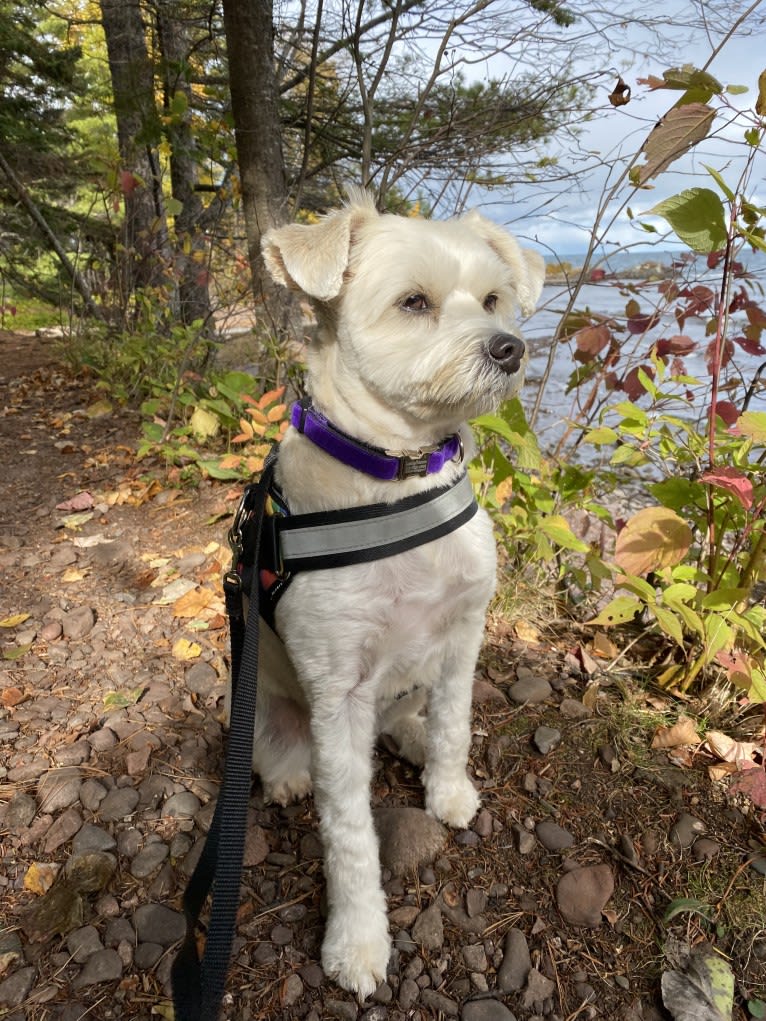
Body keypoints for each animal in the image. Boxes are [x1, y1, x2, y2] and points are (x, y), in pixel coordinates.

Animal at [243, 191, 543, 996]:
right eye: (414, 302)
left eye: (494, 299)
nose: (510, 347)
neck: (399, 482)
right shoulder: (338, 691)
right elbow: (349, 835)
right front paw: (357, 941)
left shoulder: (464, 634)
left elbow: (454, 725)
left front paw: (447, 789)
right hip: (264, 711)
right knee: (282, 759)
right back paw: (288, 778)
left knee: (414, 716)